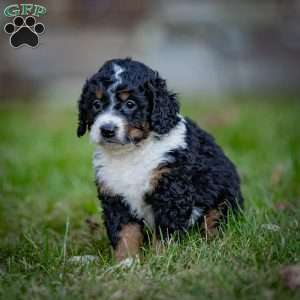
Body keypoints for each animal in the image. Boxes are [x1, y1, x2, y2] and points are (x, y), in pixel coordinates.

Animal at [77, 57, 244, 262]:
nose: (107, 130)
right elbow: (125, 232)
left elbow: (165, 233)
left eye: (130, 104)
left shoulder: (171, 191)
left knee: (213, 223)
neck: (132, 152)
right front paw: (125, 262)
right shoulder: (115, 196)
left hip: (223, 201)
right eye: (96, 104)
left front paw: (161, 260)